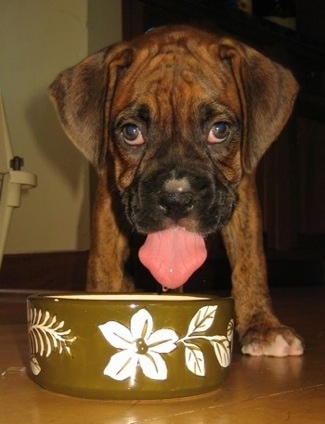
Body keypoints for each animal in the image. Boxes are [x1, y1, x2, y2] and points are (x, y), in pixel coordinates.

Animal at [49, 24, 302, 356]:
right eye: (131, 132)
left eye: (220, 130)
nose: (176, 199)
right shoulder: (107, 203)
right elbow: (103, 264)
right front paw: (101, 301)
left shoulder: (244, 197)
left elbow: (250, 263)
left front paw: (263, 326)